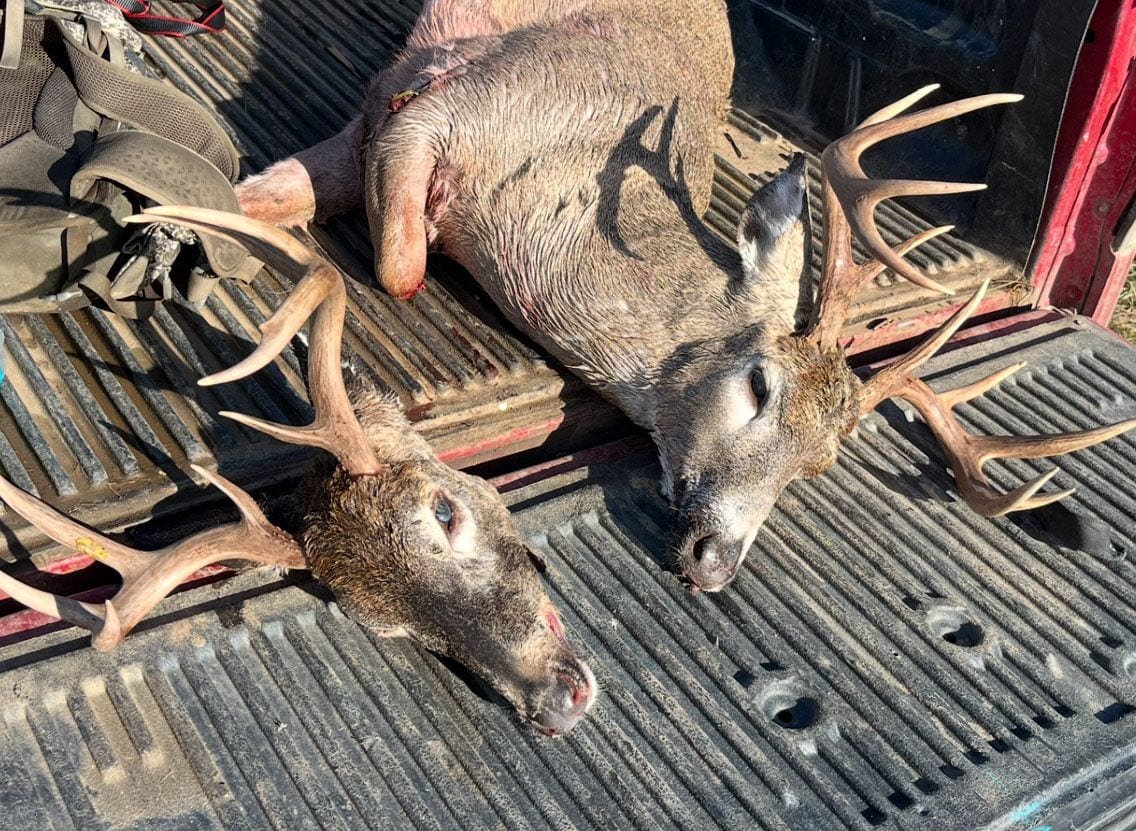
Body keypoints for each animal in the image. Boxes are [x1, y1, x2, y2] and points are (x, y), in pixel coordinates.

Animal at [234, 0, 1136, 592]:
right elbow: (393, 262)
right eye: (759, 383)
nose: (716, 561)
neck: (550, 192)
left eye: (819, 462)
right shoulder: (428, 113)